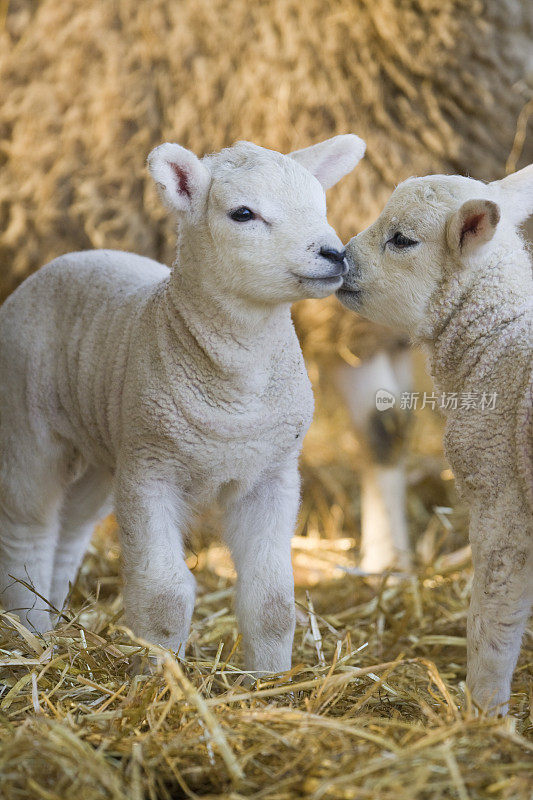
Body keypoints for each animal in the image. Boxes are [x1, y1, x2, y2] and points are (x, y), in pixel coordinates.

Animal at [0, 133, 364, 676]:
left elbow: (273, 601)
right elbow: (163, 595)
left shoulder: (272, 474)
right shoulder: (152, 473)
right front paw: (160, 677)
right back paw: (32, 633)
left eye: (321, 204)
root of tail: (73, 255)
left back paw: (55, 619)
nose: (335, 254)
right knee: (28, 529)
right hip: (28, 426)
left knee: (70, 529)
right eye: (243, 213)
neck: (237, 391)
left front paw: (269, 679)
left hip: (108, 453)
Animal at [338, 166, 528, 716]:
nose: (337, 256)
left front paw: (483, 715)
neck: (499, 337)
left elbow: (493, 621)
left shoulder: (502, 496)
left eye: (403, 239)